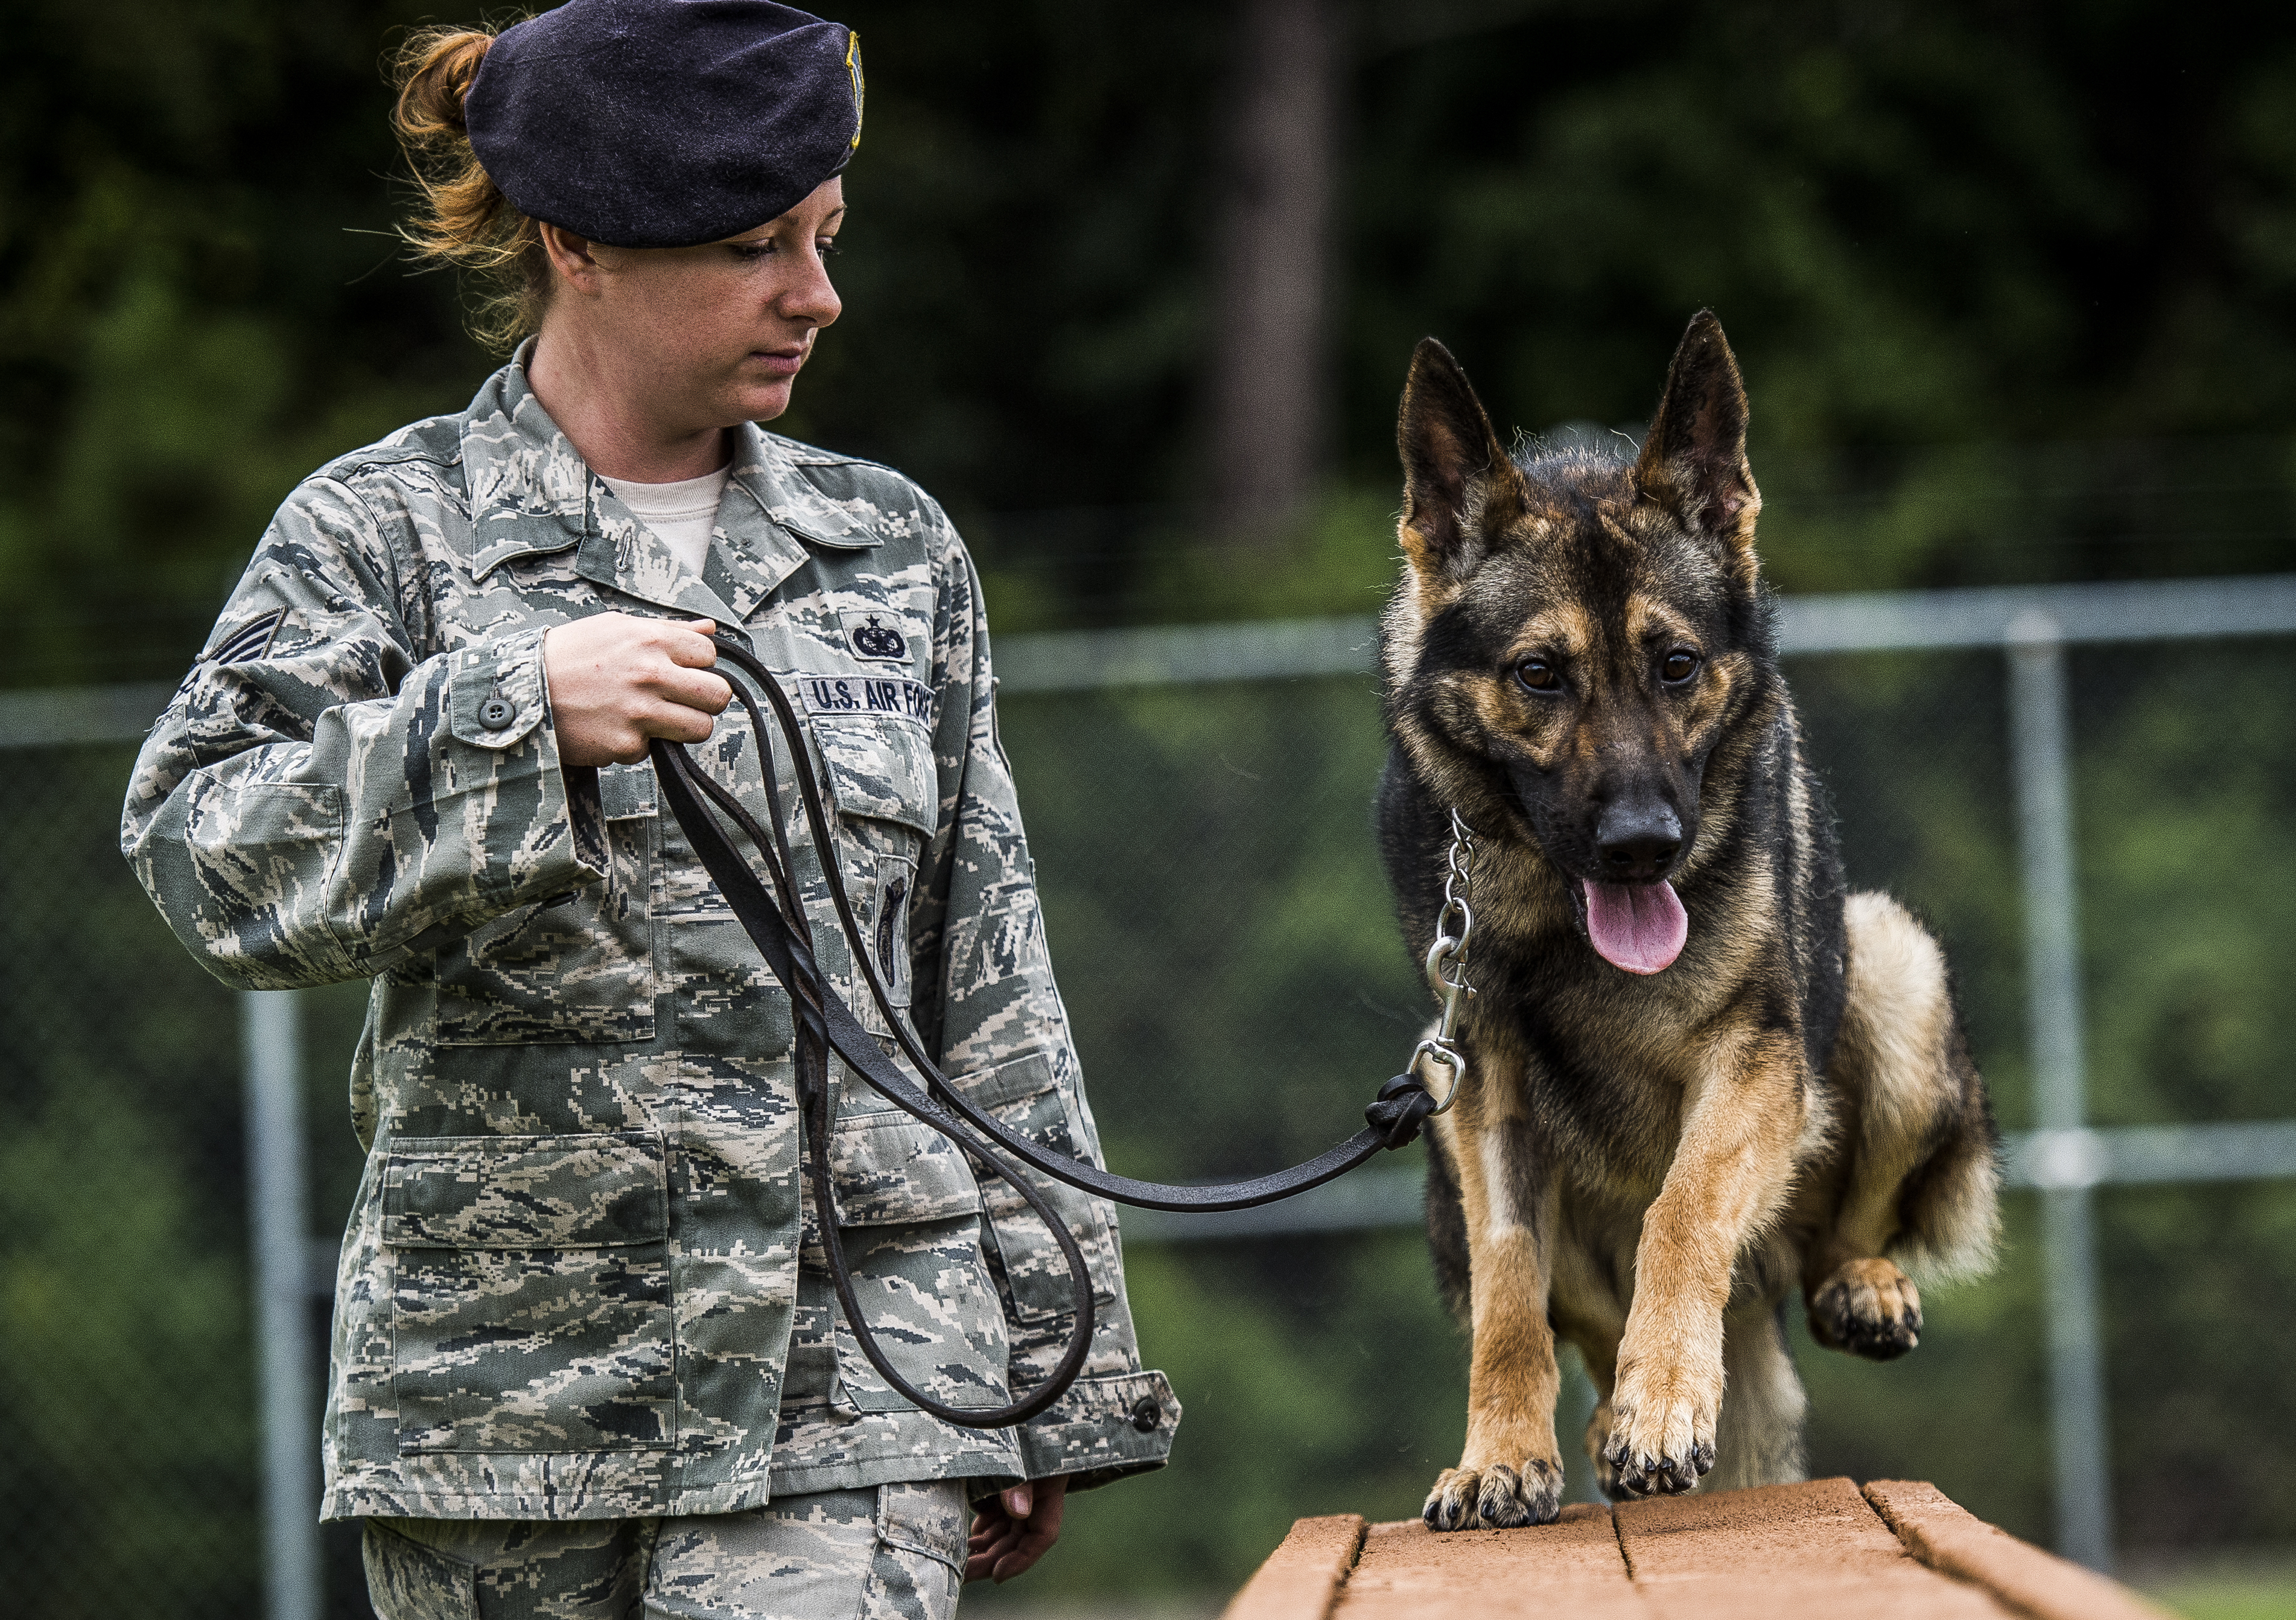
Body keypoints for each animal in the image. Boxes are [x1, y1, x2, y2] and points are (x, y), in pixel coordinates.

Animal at [1368, 312, 2002, 1525]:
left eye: (1676, 665)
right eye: (1539, 674)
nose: (1642, 844)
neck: (1564, 924)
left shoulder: (1754, 1061)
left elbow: (1683, 1207)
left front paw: (1666, 1400)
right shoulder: (1483, 1090)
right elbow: (1510, 1283)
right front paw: (1501, 1453)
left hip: (1890, 964)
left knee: (1819, 1243)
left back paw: (1853, 1286)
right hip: (1432, 1114)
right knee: (1578, 1323)